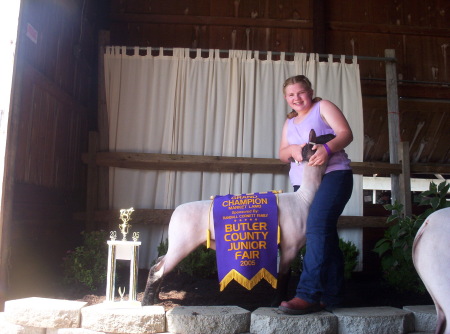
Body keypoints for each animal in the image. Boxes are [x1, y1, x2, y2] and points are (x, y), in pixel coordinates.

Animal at [142, 129, 328, 306]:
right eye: (324, 138)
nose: (333, 135)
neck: (304, 198)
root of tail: (175, 212)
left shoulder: (286, 247)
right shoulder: (290, 246)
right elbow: (283, 277)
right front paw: (276, 303)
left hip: (176, 244)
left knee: (160, 262)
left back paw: (156, 298)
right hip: (182, 244)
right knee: (157, 269)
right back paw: (147, 302)